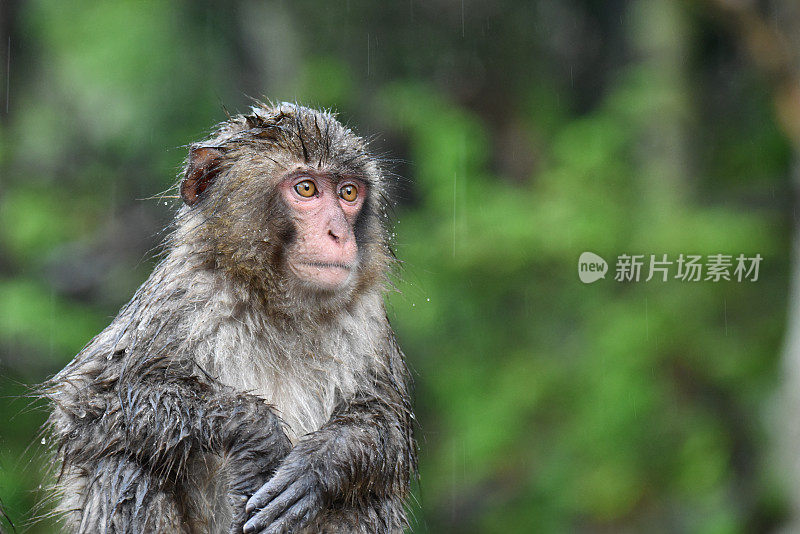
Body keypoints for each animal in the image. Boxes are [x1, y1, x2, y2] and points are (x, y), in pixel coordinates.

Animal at [42, 101, 418, 534]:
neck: (277, 303)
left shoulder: (369, 321)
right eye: (306, 188)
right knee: (125, 466)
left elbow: (387, 425)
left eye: (349, 193)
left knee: (365, 502)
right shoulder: (180, 296)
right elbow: (93, 406)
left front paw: (318, 465)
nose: (339, 234)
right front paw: (254, 431)